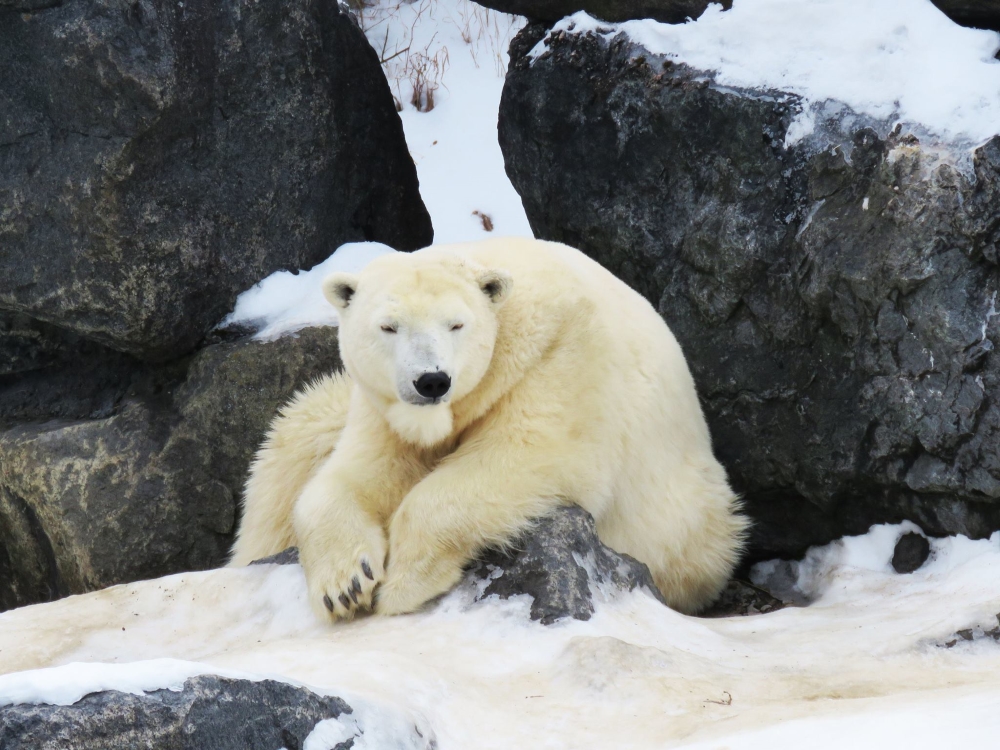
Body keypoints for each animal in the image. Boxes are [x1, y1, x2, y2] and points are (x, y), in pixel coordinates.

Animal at [230, 238, 748, 620]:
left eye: (456, 324)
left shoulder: (561, 357)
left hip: (690, 525)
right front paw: (346, 583)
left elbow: (529, 453)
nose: (432, 380)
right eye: (389, 326)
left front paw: (403, 583)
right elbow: (352, 478)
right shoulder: (383, 410)